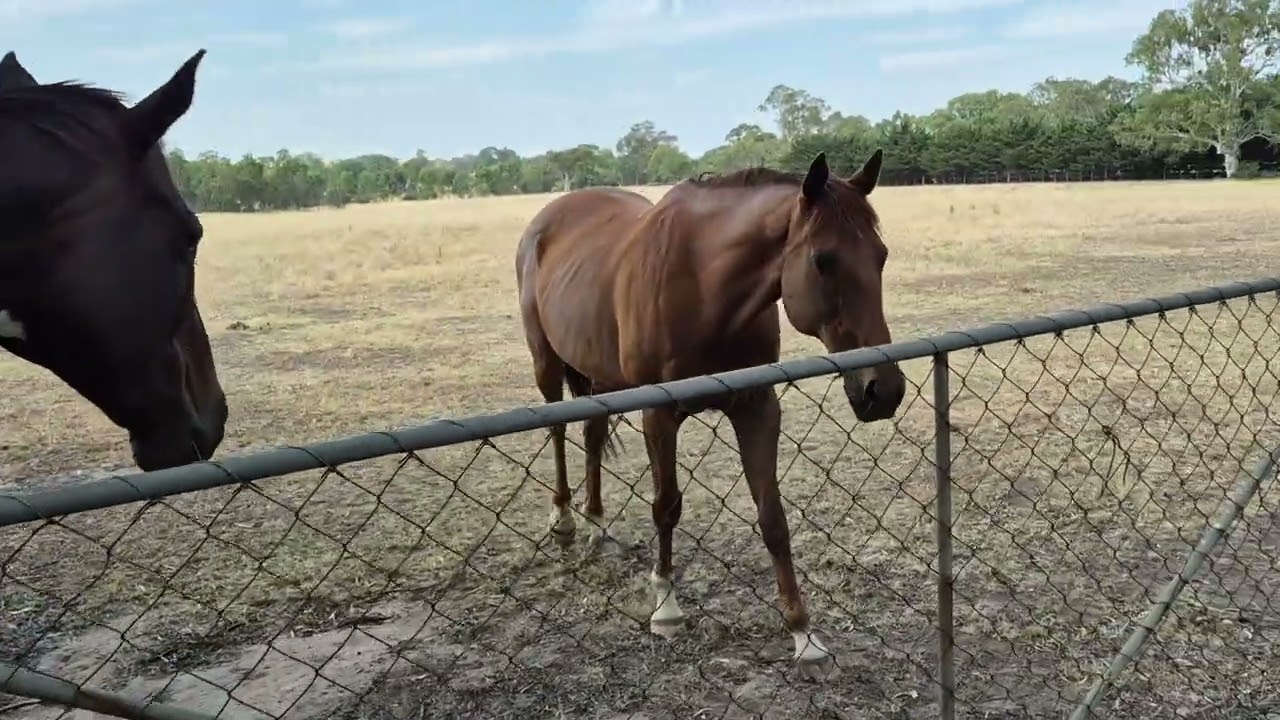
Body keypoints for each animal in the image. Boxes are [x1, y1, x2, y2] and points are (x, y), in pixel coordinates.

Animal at [515, 149, 906, 677]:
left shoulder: (757, 408)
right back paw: (565, 520)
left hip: (598, 376)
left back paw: (597, 525)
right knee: (557, 429)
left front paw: (802, 632)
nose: (883, 392)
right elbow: (666, 507)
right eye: (823, 261)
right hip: (547, 362)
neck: (704, 286)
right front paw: (665, 607)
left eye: (881, 257)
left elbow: (773, 517)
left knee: (592, 434)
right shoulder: (658, 413)